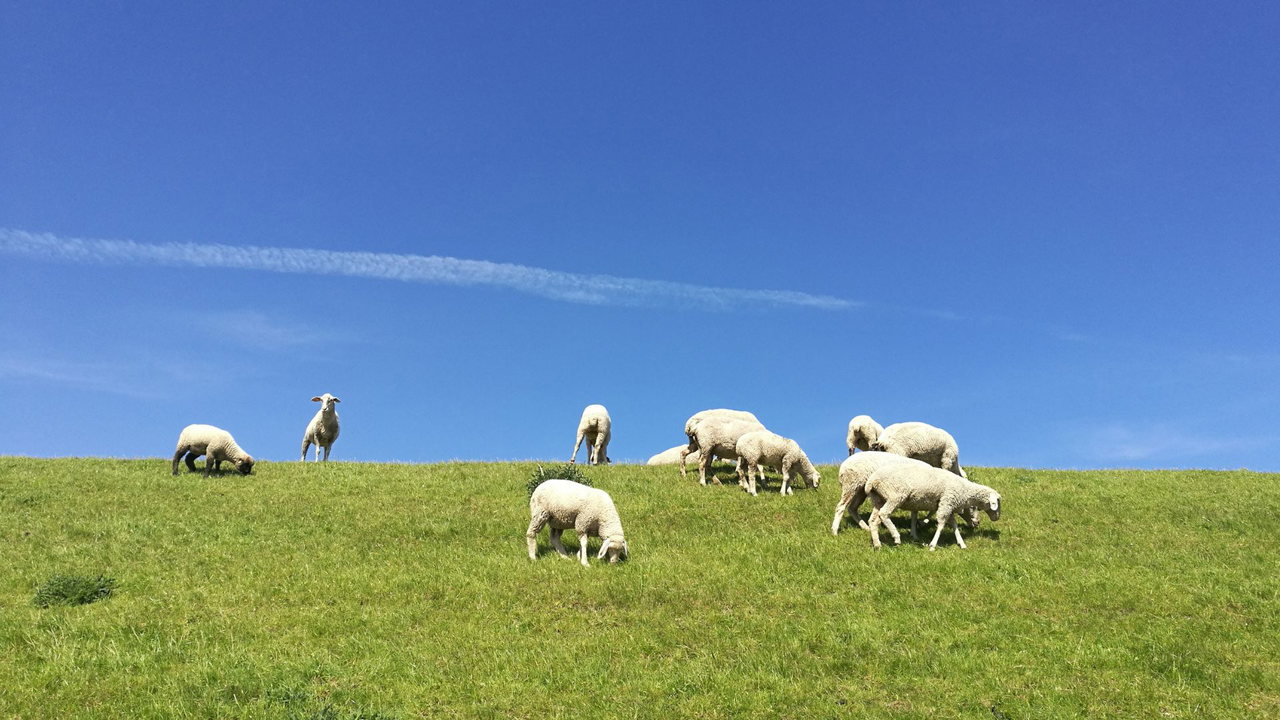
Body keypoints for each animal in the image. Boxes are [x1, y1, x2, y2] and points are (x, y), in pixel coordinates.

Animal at [864, 463, 1001, 550]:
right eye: (974, 508)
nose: (997, 518)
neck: (964, 489)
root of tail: (871, 481)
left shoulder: (948, 505)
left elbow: (954, 525)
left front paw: (961, 543)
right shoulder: (946, 502)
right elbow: (941, 524)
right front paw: (933, 545)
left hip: (879, 498)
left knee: (873, 521)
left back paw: (877, 544)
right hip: (895, 495)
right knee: (884, 514)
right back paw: (896, 536)